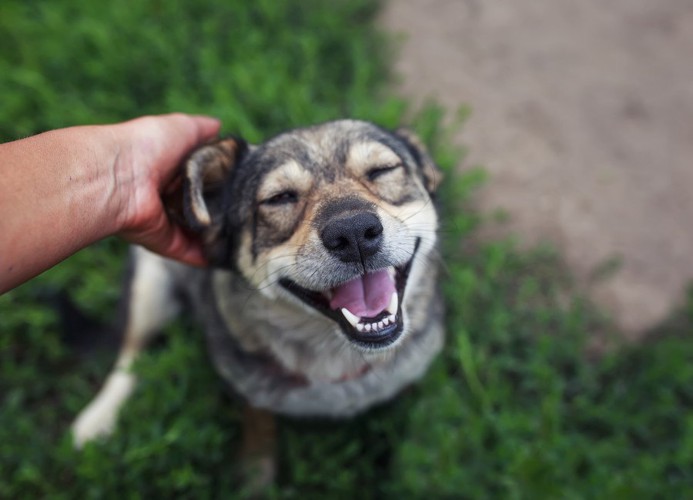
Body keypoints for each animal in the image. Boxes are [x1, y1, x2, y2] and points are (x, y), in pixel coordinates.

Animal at [70, 118, 444, 484]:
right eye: (279, 198)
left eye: (382, 170)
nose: (352, 232)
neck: (337, 358)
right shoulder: (252, 398)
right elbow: (259, 443)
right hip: (150, 286)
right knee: (130, 355)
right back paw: (97, 419)